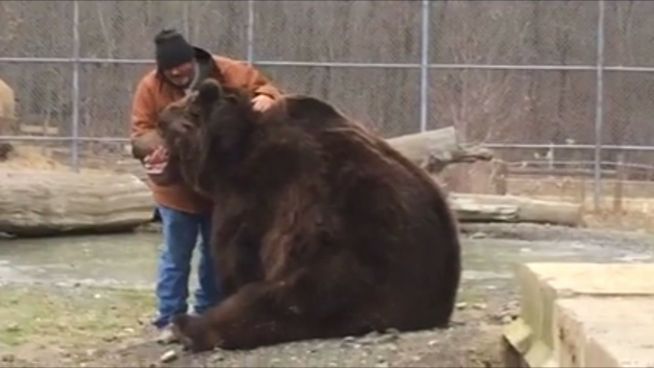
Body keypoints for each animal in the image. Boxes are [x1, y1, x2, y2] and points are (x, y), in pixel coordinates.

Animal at [156, 78, 464, 350]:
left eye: (180, 107)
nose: (159, 117)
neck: (230, 152)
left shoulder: (257, 195)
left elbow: (235, 253)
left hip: (350, 253)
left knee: (278, 302)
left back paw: (187, 326)